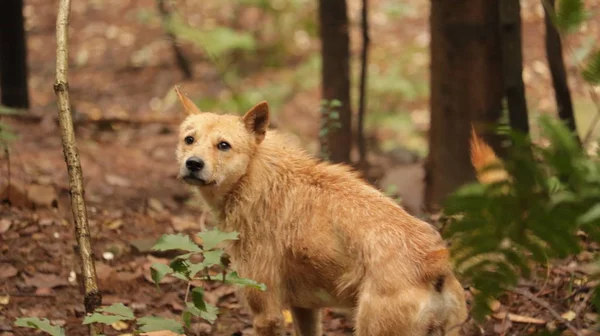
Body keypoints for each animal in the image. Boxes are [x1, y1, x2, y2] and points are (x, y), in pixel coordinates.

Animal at [173, 88, 468, 334]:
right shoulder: (305, 308)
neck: (258, 180)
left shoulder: (266, 313)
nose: (193, 164)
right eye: (189, 140)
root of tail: (434, 262)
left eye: (223, 145)